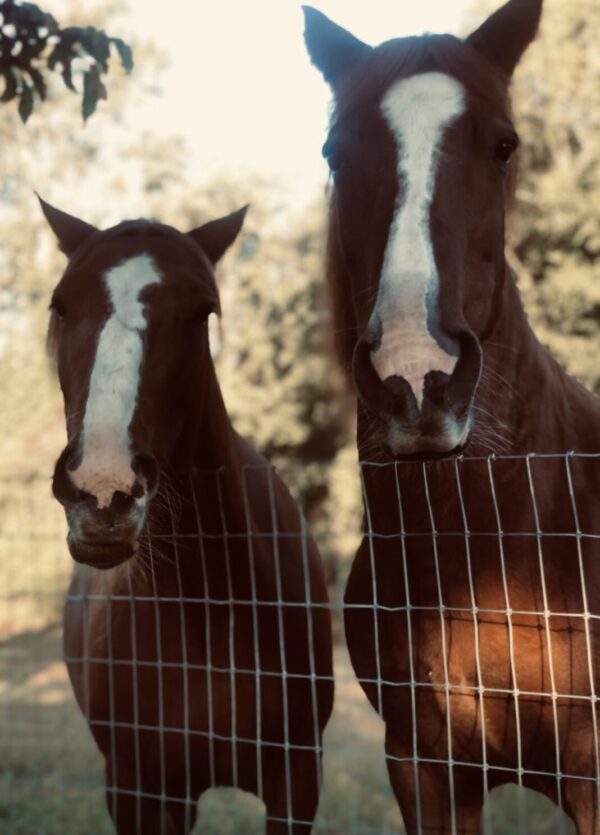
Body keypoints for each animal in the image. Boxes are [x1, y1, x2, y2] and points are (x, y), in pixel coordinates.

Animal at [41, 198, 332, 835]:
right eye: (61, 305)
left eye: (204, 313)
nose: (103, 492)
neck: (206, 608)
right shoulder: (138, 791)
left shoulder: (296, 782)